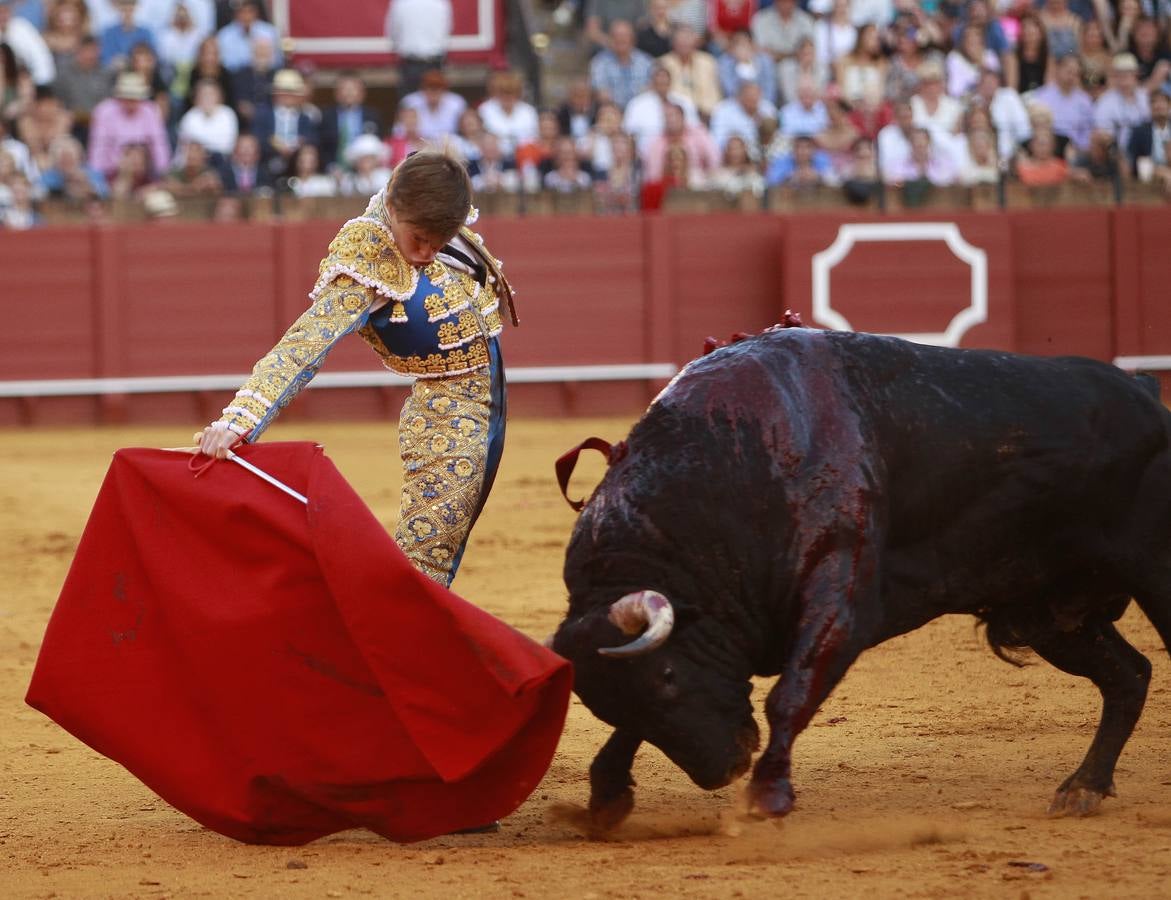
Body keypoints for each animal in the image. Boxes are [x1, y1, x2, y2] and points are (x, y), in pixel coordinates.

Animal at [550, 327, 1171, 823]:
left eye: (669, 679)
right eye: (607, 703)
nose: (724, 769)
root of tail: (1146, 394)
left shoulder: (840, 595)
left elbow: (791, 694)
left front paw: (767, 796)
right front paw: (607, 795)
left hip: (1150, 578)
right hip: (1050, 615)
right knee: (1130, 675)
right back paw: (1084, 787)